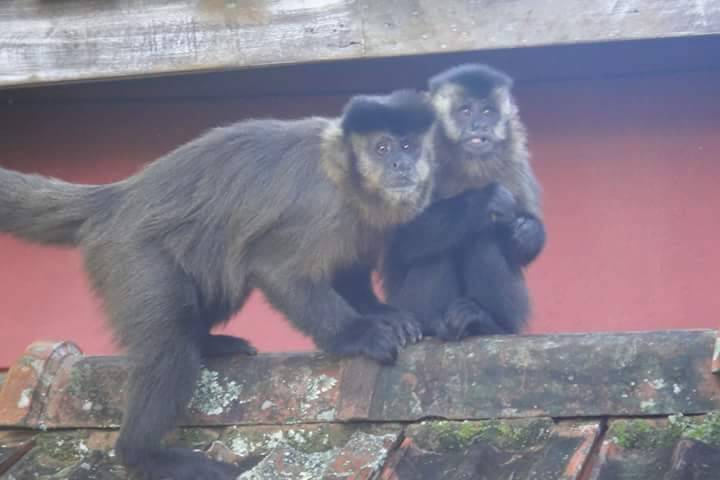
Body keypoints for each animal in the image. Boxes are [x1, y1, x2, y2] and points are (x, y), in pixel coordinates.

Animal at [0, 91, 434, 480]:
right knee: (168, 346)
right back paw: (144, 454)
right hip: (130, 253)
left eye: (408, 146)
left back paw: (207, 342)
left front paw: (384, 314)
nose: (401, 162)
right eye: (382, 147)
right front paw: (359, 334)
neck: (348, 179)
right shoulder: (322, 206)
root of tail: (119, 197)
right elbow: (277, 271)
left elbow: (349, 272)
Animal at [382, 63, 544, 342]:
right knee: (440, 247)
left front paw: (528, 231)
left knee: (482, 239)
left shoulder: (515, 163)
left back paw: (487, 323)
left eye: (488, 111)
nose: (479, 125)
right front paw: (486, 200)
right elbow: (401, 239)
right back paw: (435, 325)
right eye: (466, 111)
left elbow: (520, 248)